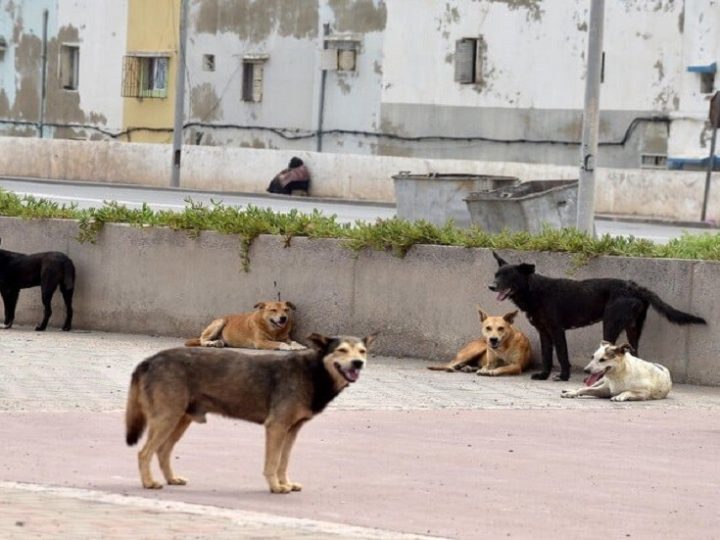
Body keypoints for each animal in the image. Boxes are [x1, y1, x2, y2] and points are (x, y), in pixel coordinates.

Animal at [490, 251, 704, 382]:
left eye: (508, 276)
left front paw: (564, 376)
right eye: (496, 274)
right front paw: (543, 375)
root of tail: (634, 287)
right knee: (633, 354)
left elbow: (562, 355)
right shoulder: (544, 332)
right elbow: (546, 355)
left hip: (610, 325)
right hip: (633, 329)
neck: (535, 291)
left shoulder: (557, 331)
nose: (491, 286)